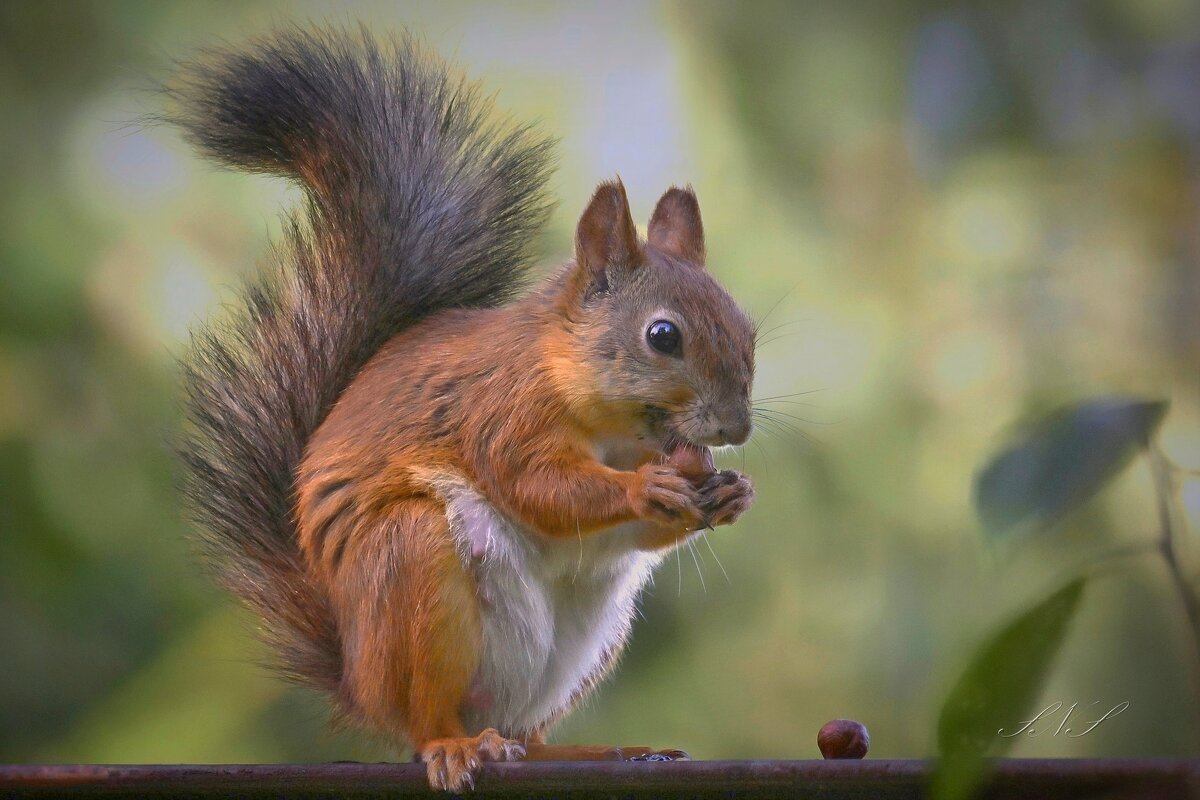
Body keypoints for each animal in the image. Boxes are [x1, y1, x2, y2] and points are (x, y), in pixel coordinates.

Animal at [174, 28, 753, 791]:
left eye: (747, 327)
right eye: (663, 336)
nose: (738, 429)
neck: (613, 425)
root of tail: (356, 681)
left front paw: (728, 494)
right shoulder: (502, 413)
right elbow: (538, 486)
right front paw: (644, 488)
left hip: (585, 646)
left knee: (528, 735)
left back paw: (588, 751)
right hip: (410, 566)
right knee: (425, 719)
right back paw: (453, 746)